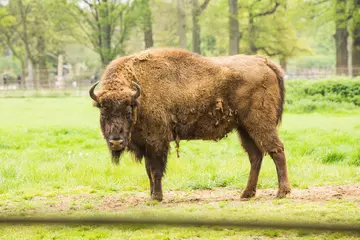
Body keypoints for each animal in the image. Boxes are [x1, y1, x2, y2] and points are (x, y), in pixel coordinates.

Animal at [88, 47, 292, 201]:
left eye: (128, 112)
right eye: (103, 112)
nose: (116, 141)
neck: (138, 94)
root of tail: (264, 61)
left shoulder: (156, 142)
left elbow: (155, 170)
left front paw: (157, 197)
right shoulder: (146, 144)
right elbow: (148, 171)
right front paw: (152, 195)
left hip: (259, 123)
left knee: (276, 150)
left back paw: (282, 192)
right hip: (243, 128)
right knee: (256, 156)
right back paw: (247, 194)